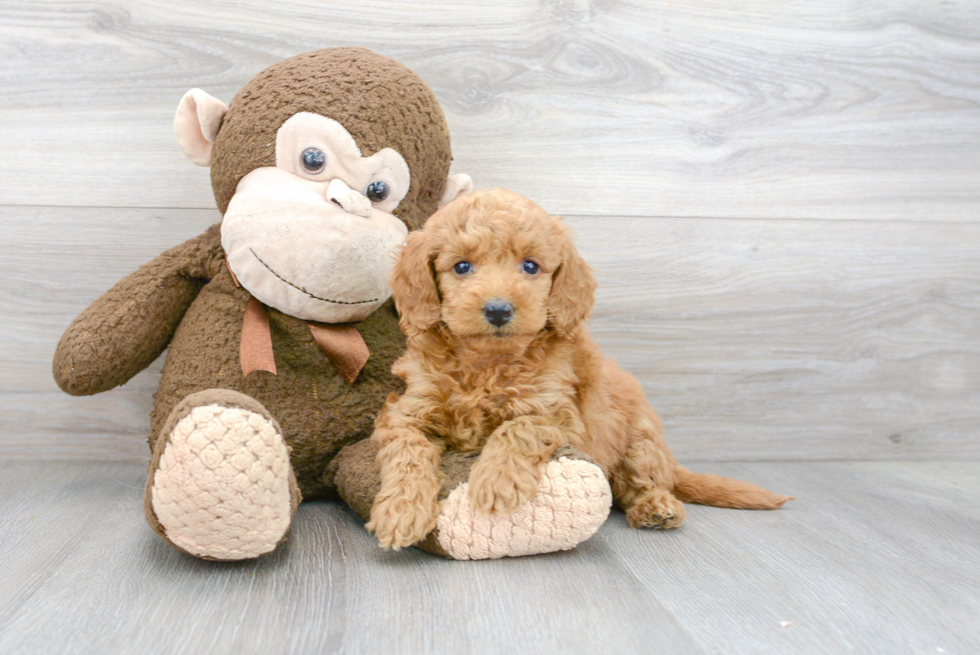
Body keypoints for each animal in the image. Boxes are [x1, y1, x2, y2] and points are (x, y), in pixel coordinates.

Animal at [368, 188, 788, 548]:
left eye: (531, 266)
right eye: (462, 266)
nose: (499, 309)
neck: (488, 362)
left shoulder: (562, 416)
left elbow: (519, 426)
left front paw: (498, 480)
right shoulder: (407, 411)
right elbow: (408, 450)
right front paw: (400, 512)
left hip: (640, 440)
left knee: (641, 482)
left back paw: (656, 507)